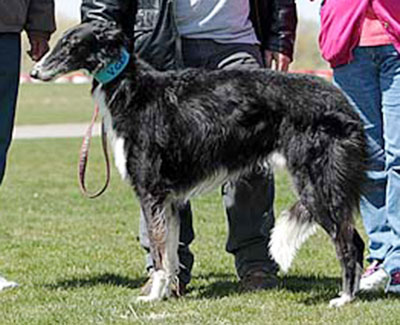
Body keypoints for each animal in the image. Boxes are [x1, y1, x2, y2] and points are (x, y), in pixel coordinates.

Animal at [32, 21, 368, 306]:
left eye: (72, 43)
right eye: (61, 41)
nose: (35, 72)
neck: (133, 89)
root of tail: (343, 103)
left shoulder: (151, 193)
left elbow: (159, 255)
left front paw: (152, 298)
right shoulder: (169, 200)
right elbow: (169, 254)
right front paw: (166, 293)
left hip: (316, 185)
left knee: (347, 244)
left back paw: (344, 298)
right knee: (356, 240)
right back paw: (354, 292)